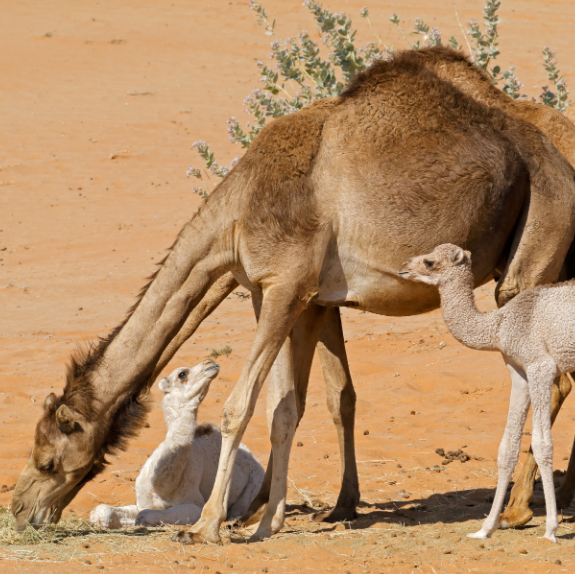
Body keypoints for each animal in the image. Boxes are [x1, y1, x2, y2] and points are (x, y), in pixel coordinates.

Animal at [90, 362, 266, 528]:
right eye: (182, 374)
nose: (211, 363)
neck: (163, 485)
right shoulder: (142, 502)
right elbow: (102, 511)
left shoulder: (195, 504)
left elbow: (144, 516)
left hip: (255, 484)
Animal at [400, 245, 575, 544]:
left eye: (430, 261)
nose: (403, 267)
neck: (499, 324)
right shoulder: (518, 370)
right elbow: (507, 448)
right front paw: (485, 528)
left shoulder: (540, 366)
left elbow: (543, 444)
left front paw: (551, 530)